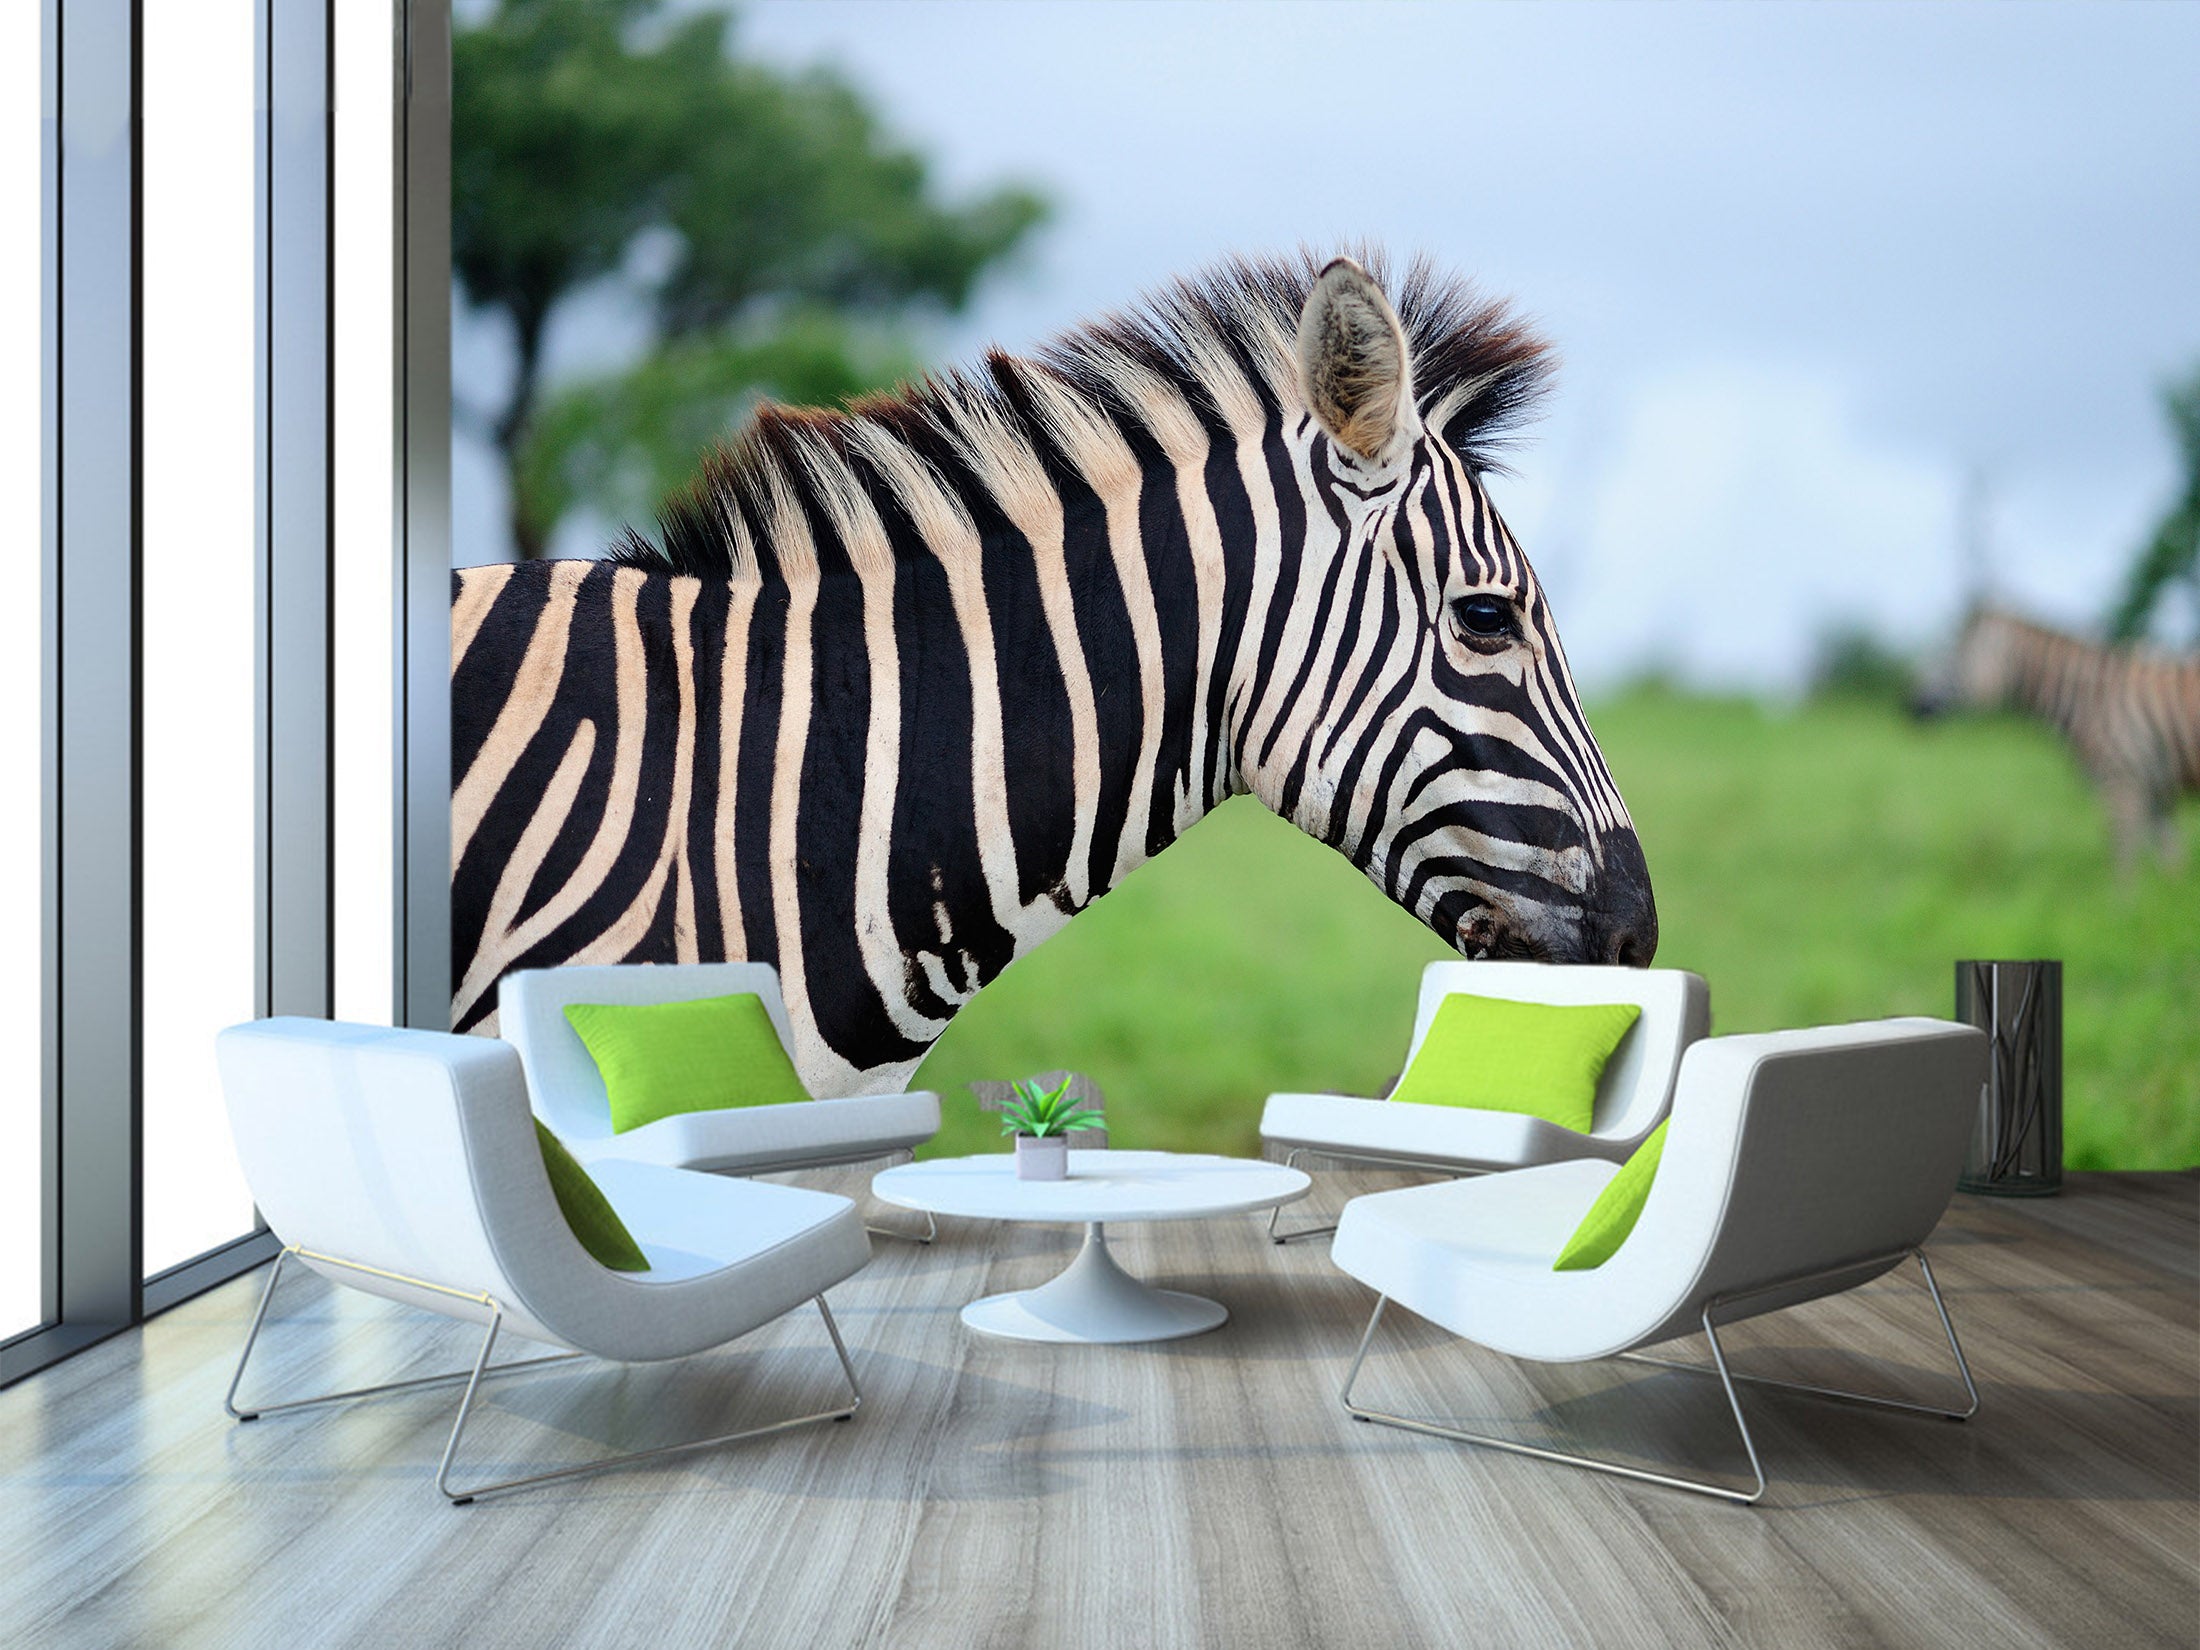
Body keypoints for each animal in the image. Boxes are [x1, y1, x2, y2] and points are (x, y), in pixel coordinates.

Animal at [1916, 603, 2200, 868]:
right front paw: (2162, 889)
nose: (1911, 706)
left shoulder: (2122, 783)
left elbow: (2124, 859)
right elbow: (2169, 862)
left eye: (1949, 659)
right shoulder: (2155, 791)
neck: (2090, 700)